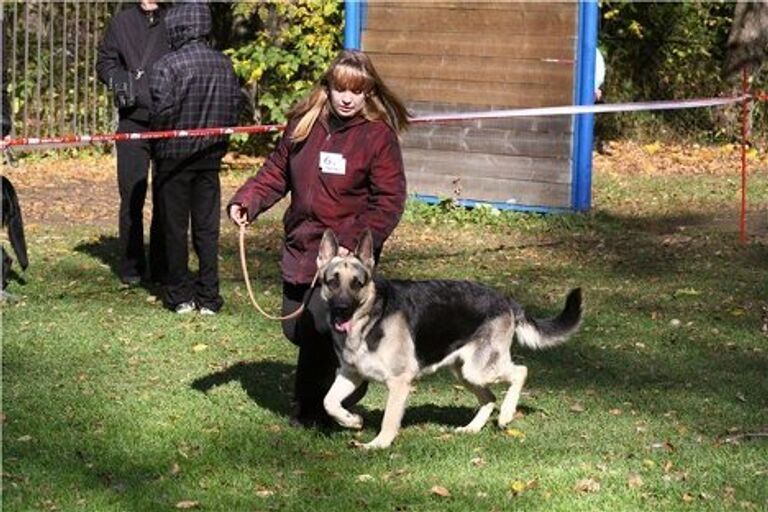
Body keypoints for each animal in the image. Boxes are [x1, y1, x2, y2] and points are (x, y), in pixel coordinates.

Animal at [314, 229, 584, 448]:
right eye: (332, 282)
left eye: (357, 284)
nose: (341, 310)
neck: (371, 318)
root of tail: (507, 300)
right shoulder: (350, 374)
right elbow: (328, 402)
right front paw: (351, 421)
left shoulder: (399, 382)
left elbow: (389, 420)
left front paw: (378, 444)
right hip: (464, 372)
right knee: (489, 398)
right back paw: (472, 428)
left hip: (479, 370)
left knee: (520, 371)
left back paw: (507, 414)